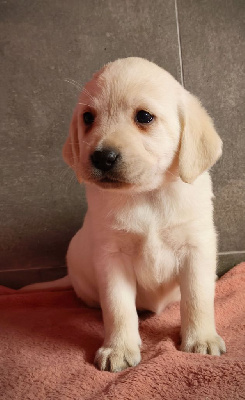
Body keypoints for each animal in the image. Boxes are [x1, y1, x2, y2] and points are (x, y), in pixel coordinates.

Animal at [21, 58, 226, 372]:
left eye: (144, 117)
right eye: (88, 118)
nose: (101, 157)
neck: (146, 196)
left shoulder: (197, 248)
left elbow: (197, 298)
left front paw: (201, 338)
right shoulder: (111, 257)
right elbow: (118, 307)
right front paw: (118, 348)